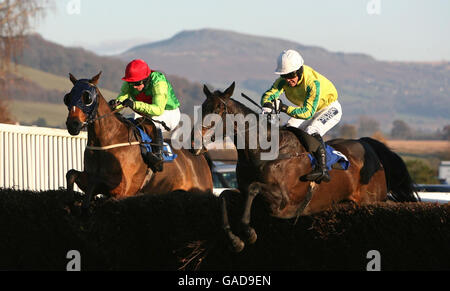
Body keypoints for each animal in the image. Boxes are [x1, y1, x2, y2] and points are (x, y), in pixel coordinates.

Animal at [63, 72, 214, 210]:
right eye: (68, 97)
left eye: (87, 97)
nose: (73, 124)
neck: (108, 140)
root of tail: (197, 155)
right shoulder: (92, 179)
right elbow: (72, 173)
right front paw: (71, 200)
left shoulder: (123, 189)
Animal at [197, 82, 418, 253]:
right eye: (202, 109)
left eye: (218, 110)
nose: (196, 140)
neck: (262, 150)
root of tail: (366, 145)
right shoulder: (243, 191)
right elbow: (224, 195)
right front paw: (235, 240)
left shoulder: (283, 202)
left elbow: (254, 188)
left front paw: (248, 232)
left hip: (372, 200)